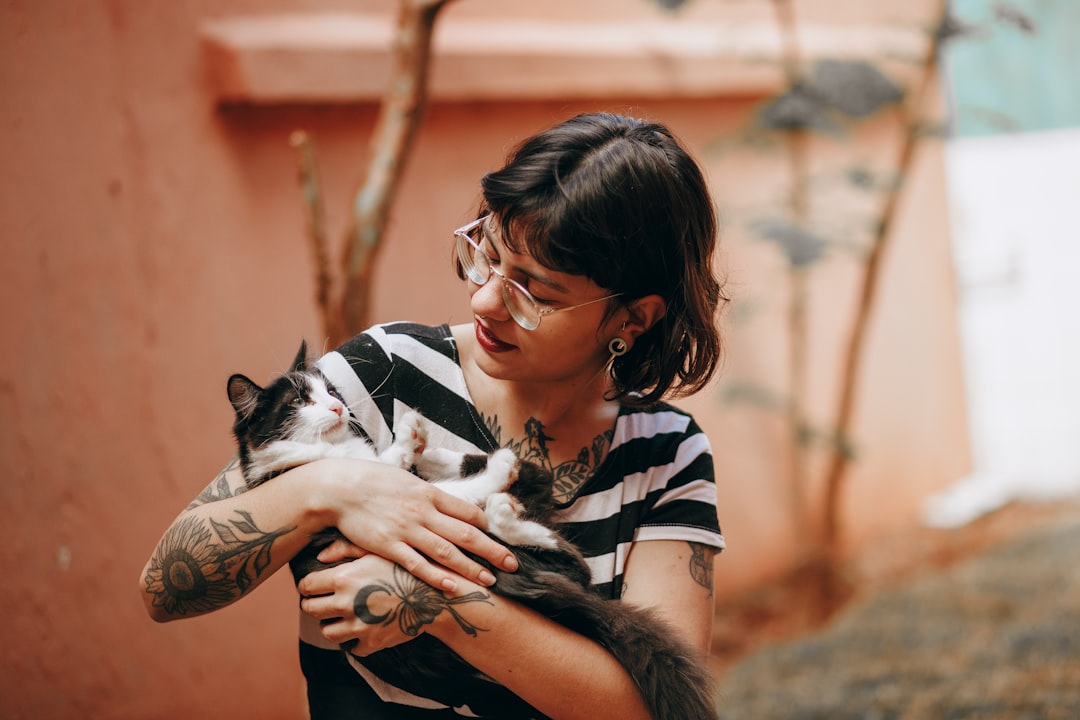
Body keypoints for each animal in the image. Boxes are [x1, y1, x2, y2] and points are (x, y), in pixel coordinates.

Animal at [227, 343, 717, 720]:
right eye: (297, 403)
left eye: (329, 390)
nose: (336, 406)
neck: (329, 454)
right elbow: (443, 492)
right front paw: (445, 458)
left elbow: (397, 462)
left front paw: (412, 440)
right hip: (516, 559)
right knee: (559, 551)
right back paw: (499, 491)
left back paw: (445, 456)